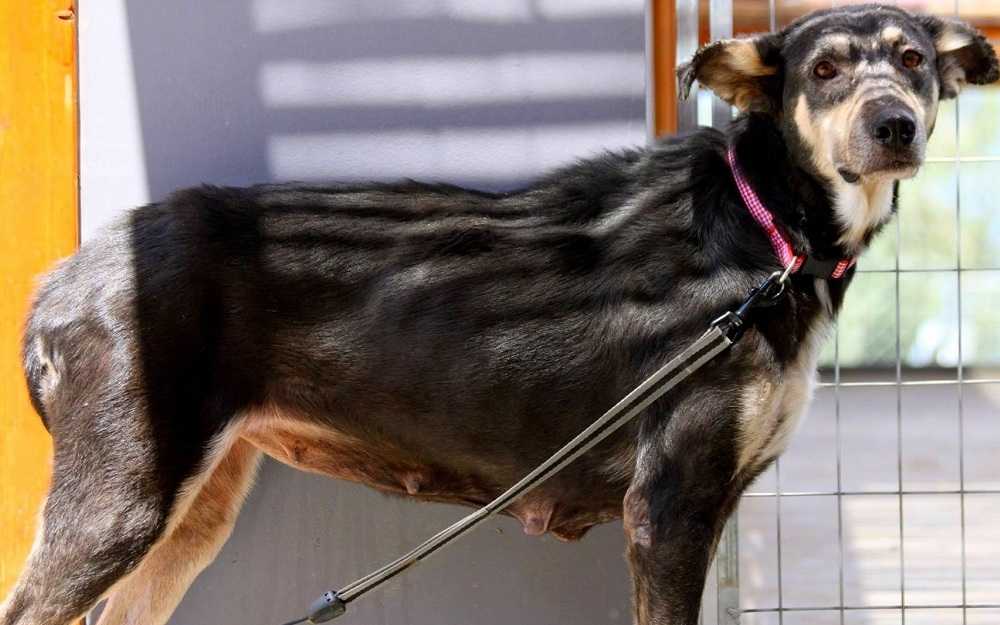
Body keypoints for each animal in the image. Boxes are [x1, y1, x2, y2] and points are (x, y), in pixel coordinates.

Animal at [3, 4, 996, 624]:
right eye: (824, 70)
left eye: (914, 61)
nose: (895, 126)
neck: (767, 230)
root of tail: (63, 278)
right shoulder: (669, 504)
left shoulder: (705, 506)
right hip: (121, 501)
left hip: (194, 511)